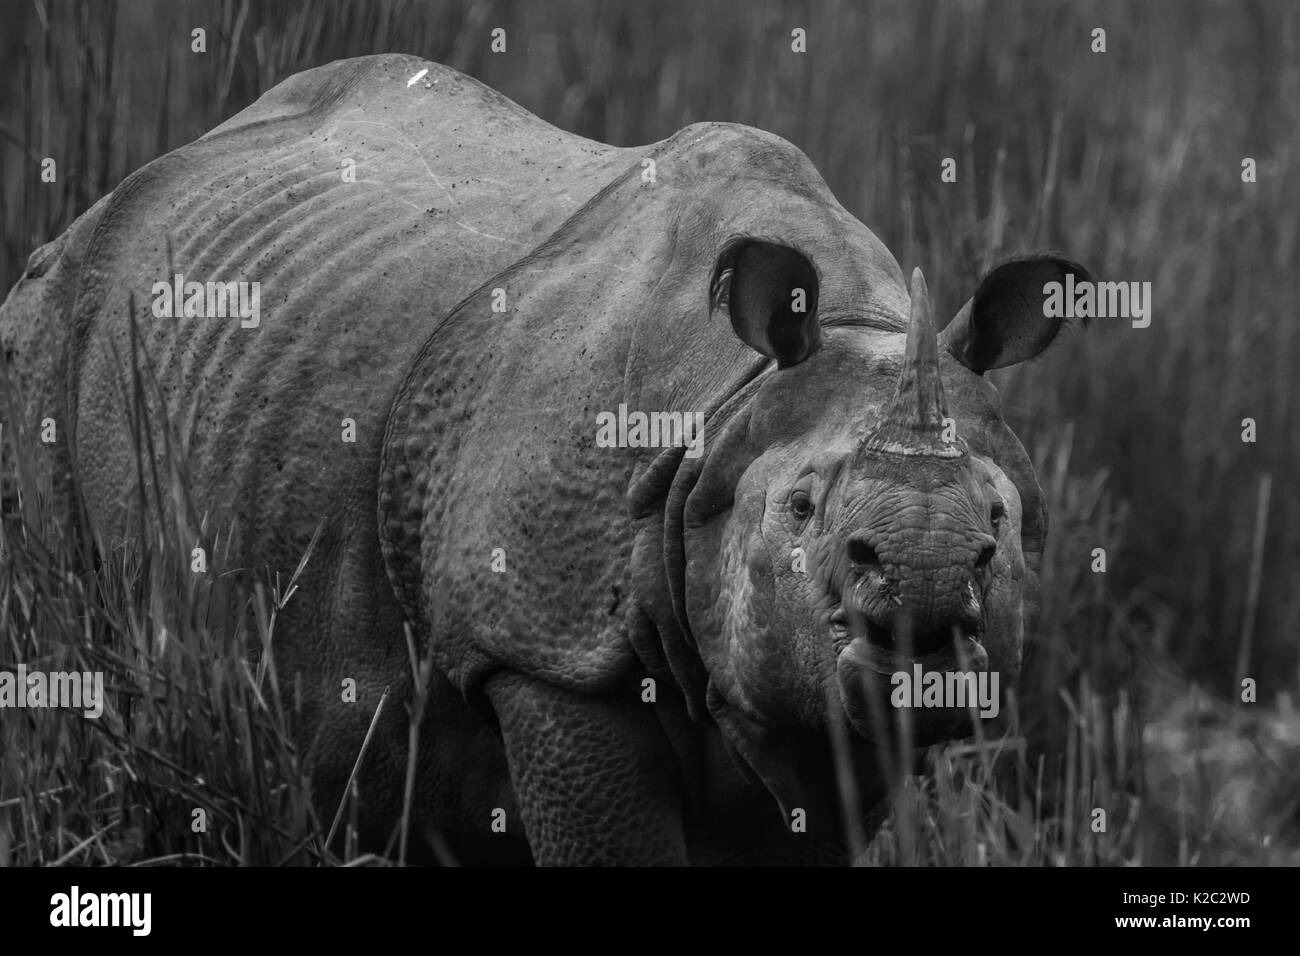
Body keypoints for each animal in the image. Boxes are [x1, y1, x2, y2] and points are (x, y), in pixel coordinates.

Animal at [0, 54, 1088, 865]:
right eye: (803, 510)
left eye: (998, 524)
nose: (926, 589)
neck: (727, 405)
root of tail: (116, 195)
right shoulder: (542, 651)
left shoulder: (820, 716)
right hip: (51, 328)